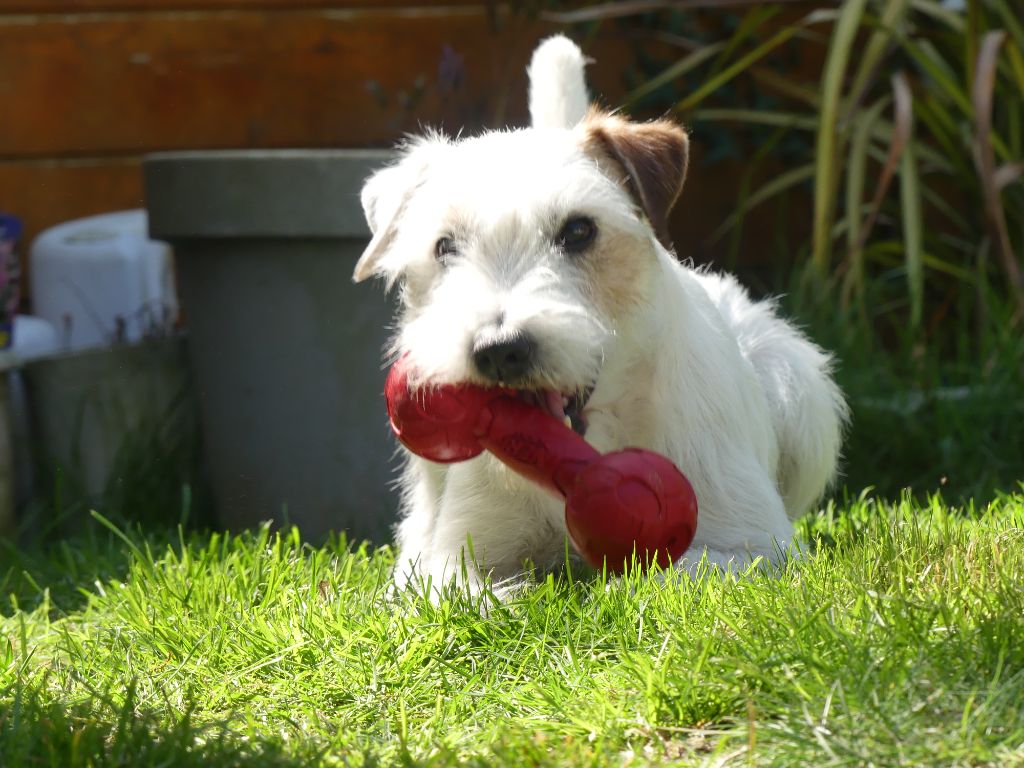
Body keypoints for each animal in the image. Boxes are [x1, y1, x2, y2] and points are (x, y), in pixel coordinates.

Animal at [352, 36, 848, 596]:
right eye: (445, 247)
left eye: (579, 231)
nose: (499, 351)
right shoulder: (449, 563)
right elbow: (463, 590)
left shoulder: (762, 549)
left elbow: (677, 569)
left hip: (799, 394)